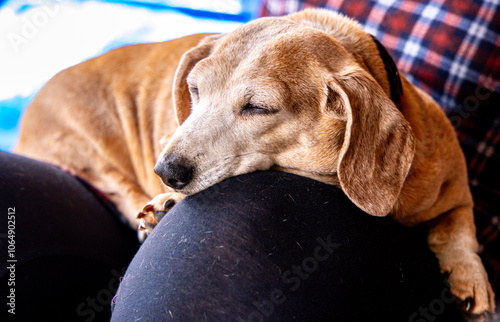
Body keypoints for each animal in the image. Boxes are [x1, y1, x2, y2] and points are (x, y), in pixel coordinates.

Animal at [14, 8, 492, 320]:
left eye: (258, 107)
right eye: (194, 90)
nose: (167, 172)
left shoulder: (456, 195)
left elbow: (457, 231)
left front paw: (471, 279)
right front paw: (162, 204)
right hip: (85, 146)